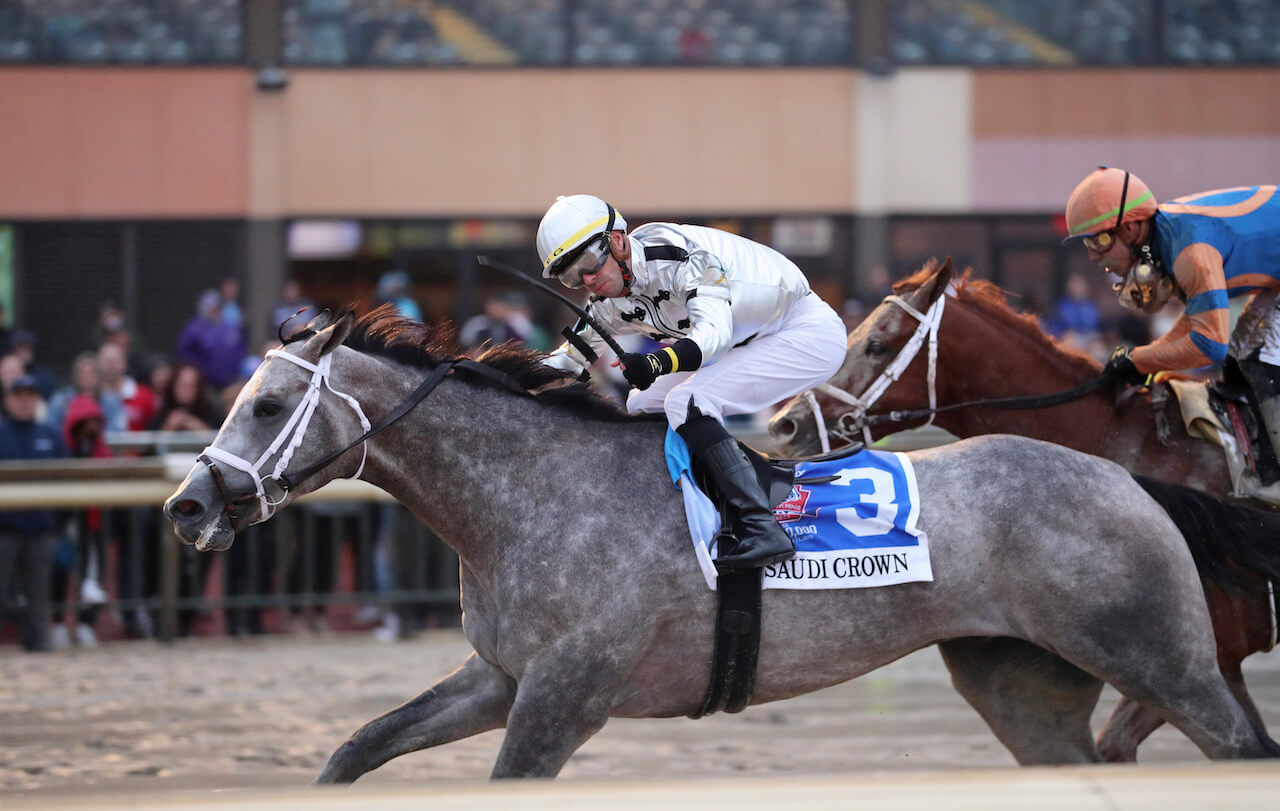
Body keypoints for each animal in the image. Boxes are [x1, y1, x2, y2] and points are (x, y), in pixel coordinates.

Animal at [165, 304, 1274, 777]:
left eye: (267, 405)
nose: (183, 504)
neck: (531, 494)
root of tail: (1127, 480)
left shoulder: (567, 691)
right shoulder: (502, 675)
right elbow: (356, 749)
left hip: (1163, 657)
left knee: (1236, 744)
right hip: (1022, 683)